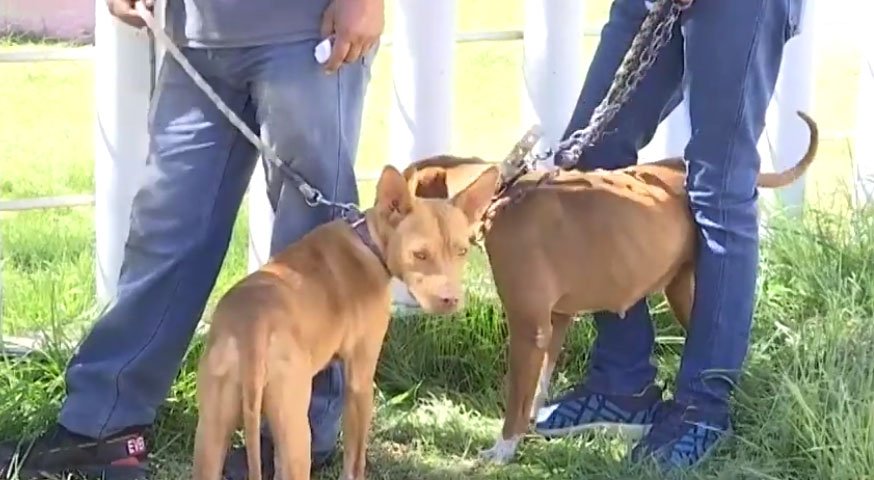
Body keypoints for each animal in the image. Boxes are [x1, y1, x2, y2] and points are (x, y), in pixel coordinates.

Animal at [191, 163, 498, 478]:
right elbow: (355, 458)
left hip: (211, 435)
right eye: (420, 254)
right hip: (296, 434)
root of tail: (252, 328)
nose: (451, 301)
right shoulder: (361, 382)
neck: (367, 241)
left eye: (462, 251)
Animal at [402, 112, 816, 464]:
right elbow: (538, 386)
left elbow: (517, 395)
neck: (503, 192)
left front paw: (504, 448)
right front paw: (533, 424)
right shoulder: (555, 321)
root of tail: (678, 166)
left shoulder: (528, 328)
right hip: (680, 288)